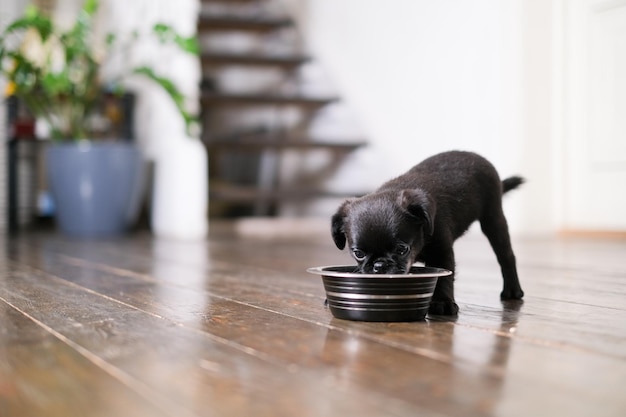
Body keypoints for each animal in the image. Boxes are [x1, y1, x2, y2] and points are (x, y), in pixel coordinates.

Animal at [330, 151, 524, 314]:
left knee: (506, 256)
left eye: (402, 249)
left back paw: (512, 290)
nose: (379, 265)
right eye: (358, 253)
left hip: (493, 220)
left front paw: (443, 302)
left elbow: (445, 277)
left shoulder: (441, 252)